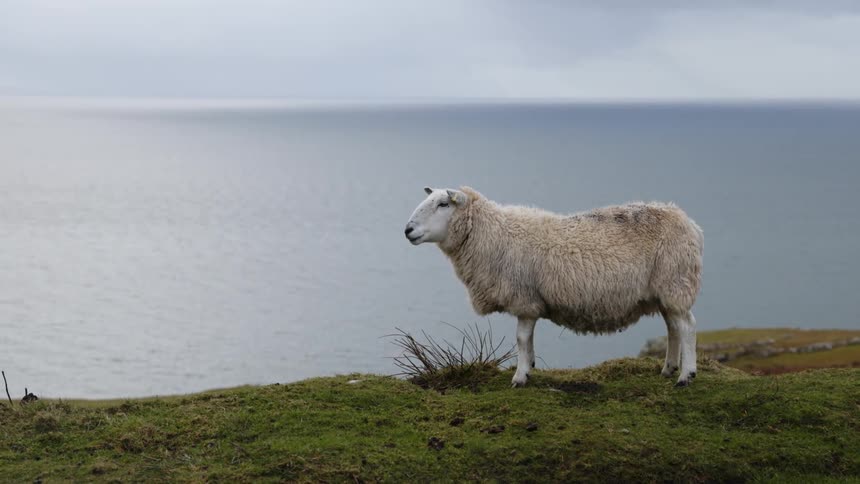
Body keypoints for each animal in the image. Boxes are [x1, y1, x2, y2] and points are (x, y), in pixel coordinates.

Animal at [405, 186, 704, 388]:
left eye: (443, 203)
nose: (407, 230)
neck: (493, 235)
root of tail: (689, 222)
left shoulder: (524, 299)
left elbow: (521, 338)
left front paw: (520, 377)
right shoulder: (530, 301)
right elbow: (528, 340)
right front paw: (530, 366)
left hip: (675, 281)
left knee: (687, 327)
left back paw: (685, 375)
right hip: (665, 290)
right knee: (673, 327)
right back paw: (668, 368)